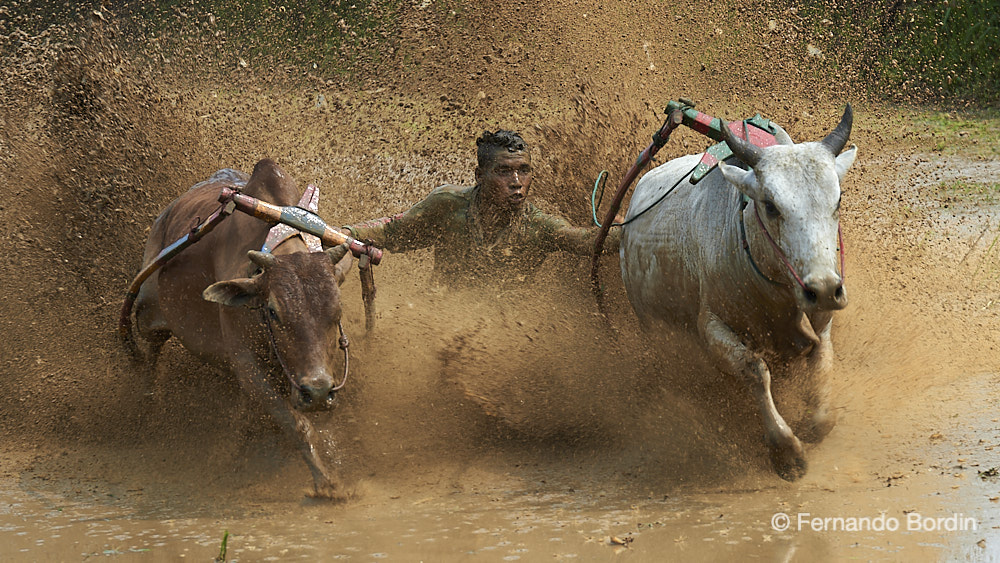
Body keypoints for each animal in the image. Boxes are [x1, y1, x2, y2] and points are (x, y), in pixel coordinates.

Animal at [131, 159, 354, 502]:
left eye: (337, 311)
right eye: (273, 311)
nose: (316, 392)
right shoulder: (247, 365)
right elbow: (295, 423)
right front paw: (327, 482)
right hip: (148, 313)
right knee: (151, 357)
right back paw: (146, 410)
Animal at [620, 106, 856, 480]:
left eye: (838, 200)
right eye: (771, 205)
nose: (823, 289)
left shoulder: (821, 323)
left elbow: (822, 371)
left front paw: (812, 421)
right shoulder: (710, 326)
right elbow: (754, 370)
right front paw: (786, 449)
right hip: (651, 326)